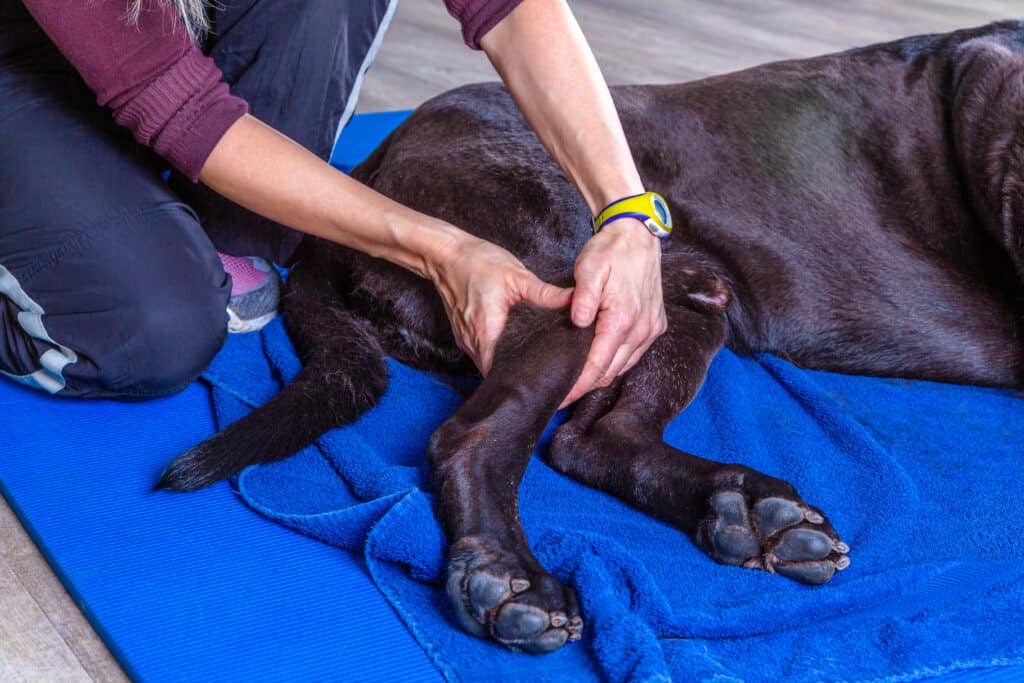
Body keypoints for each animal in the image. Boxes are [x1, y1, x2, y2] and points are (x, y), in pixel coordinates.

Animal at [155, 21, 1019, 655]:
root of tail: (368, 165)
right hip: (570, 284)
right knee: (477, 437)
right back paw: (504, 573)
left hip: (675, 302)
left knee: (592, 439)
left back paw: (742, 506)